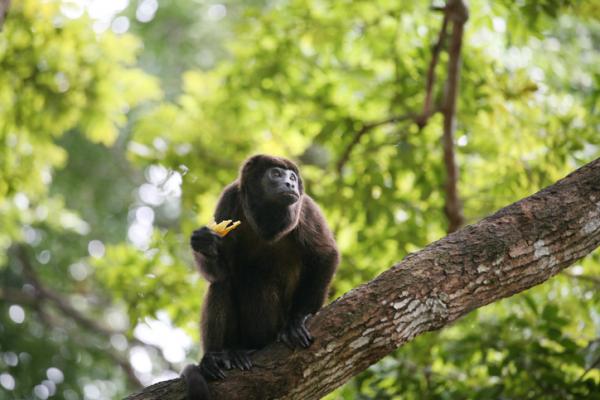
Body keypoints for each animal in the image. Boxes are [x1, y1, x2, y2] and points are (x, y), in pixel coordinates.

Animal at [180, 154, 340, 400]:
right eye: (276, 173)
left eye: (293, 177)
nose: (290, 184)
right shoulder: (229, 199)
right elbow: (223, 271)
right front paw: (205, 243)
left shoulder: (306, 209)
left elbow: (325, 255)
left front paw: (298, 319)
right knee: (221, 285)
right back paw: (220, 356)